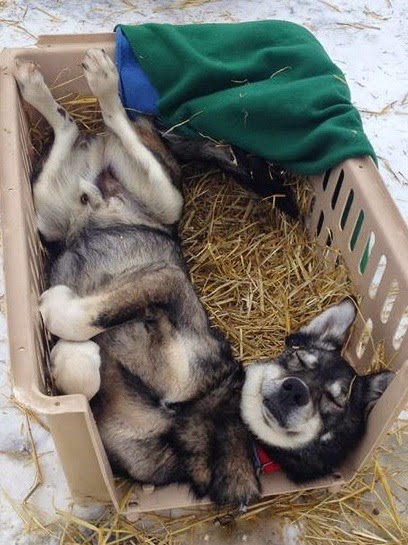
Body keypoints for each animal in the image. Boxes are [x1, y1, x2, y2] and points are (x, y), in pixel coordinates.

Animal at [13, 49, 394, 507]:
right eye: (300, 361)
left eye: (335, 403)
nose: (295, 390)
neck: (209, 411)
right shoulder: (167, 284)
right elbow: (87, 323)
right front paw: (65, 326)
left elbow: (83, 365)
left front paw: (63, 340)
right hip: (119, 201)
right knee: (92, 124)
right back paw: (75, 80)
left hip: (88, 207)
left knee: (79, 126)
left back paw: (75, 84)